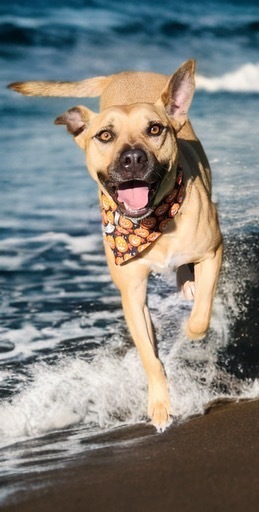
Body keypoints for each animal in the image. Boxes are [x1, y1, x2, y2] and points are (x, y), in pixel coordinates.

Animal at [8, 60, 223, 430]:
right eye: (105, 136)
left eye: (155, 129)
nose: (133, 158)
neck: (150, 223)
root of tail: (124, 74)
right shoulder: (132, 294)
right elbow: (149, 357)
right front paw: (160, 405)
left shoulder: (213, 250)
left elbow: (200, 316)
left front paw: (190, 328)